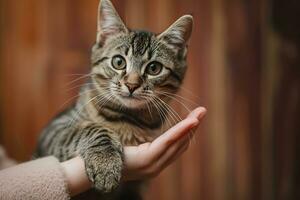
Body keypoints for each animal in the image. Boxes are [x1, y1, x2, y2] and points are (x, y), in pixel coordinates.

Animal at [35, 0, 193, 199]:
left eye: (154, 68)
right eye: (118, 62)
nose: (132, 85)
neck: (127, 119)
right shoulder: (54, 130)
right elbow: (91, 128)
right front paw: (105, 163)